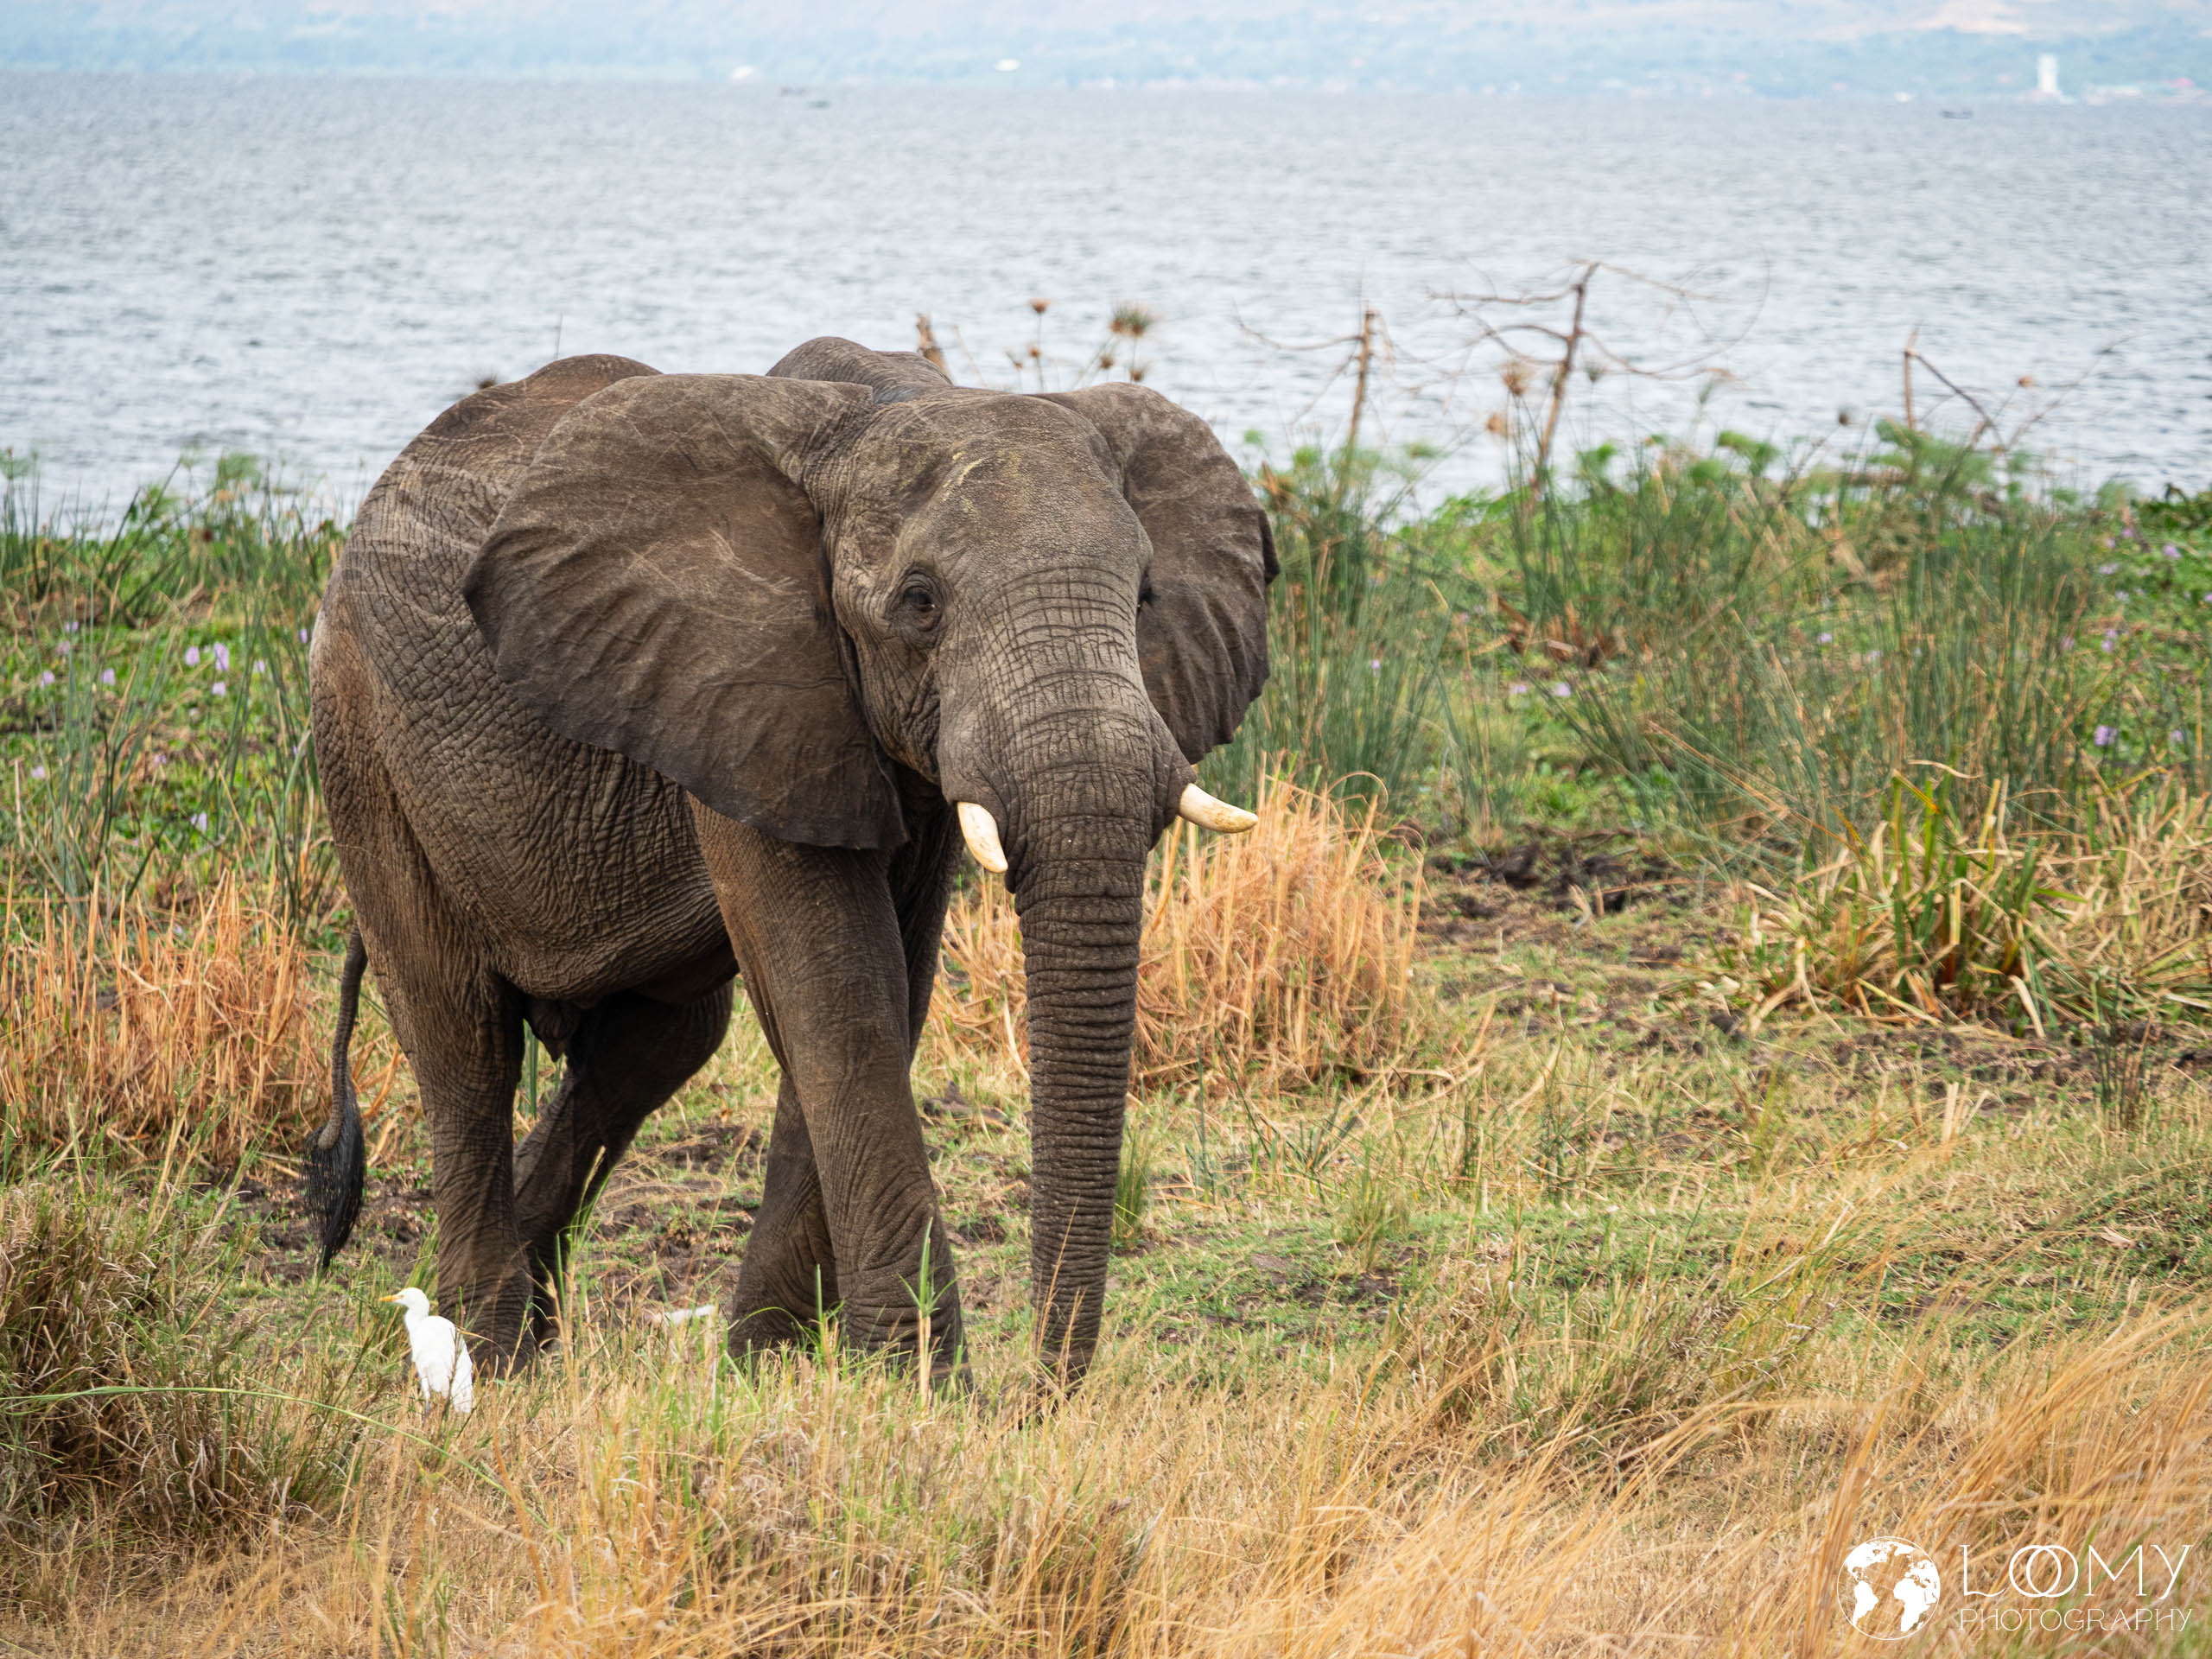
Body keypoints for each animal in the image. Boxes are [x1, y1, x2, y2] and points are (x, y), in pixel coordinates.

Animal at [302, 338, 1274, 1386]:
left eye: (1144, 596)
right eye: (920, 602)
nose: (1043, 1395)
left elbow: (886, 988)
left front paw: (767, 1368)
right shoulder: (740, 682)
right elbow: (836, 990)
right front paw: (919, 1387)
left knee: (652, 1047)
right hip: (360, 740)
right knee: (462, 1037)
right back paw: (489, 1356)